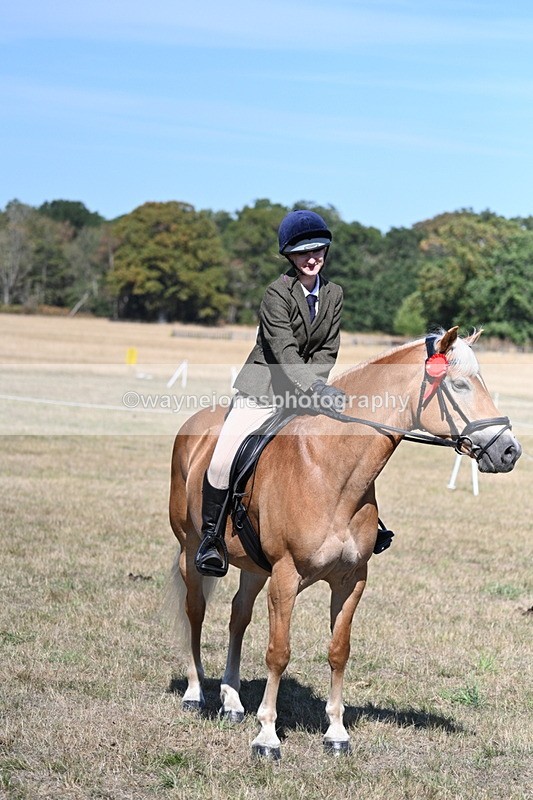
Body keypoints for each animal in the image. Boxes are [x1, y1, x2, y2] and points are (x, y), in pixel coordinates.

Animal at [167, 327, 521, 759]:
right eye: (459, 384)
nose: (510, 451)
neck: (329, 469)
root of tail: (196, 422)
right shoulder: (285, 577)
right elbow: (278, 652)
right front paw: (267, 736)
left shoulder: (351, 580)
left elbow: (339, 651)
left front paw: (336, 733)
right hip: (191, 549)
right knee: (195, 611)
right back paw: (195, 693)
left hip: (254, 567)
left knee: (238, 616)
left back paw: (231, 701)